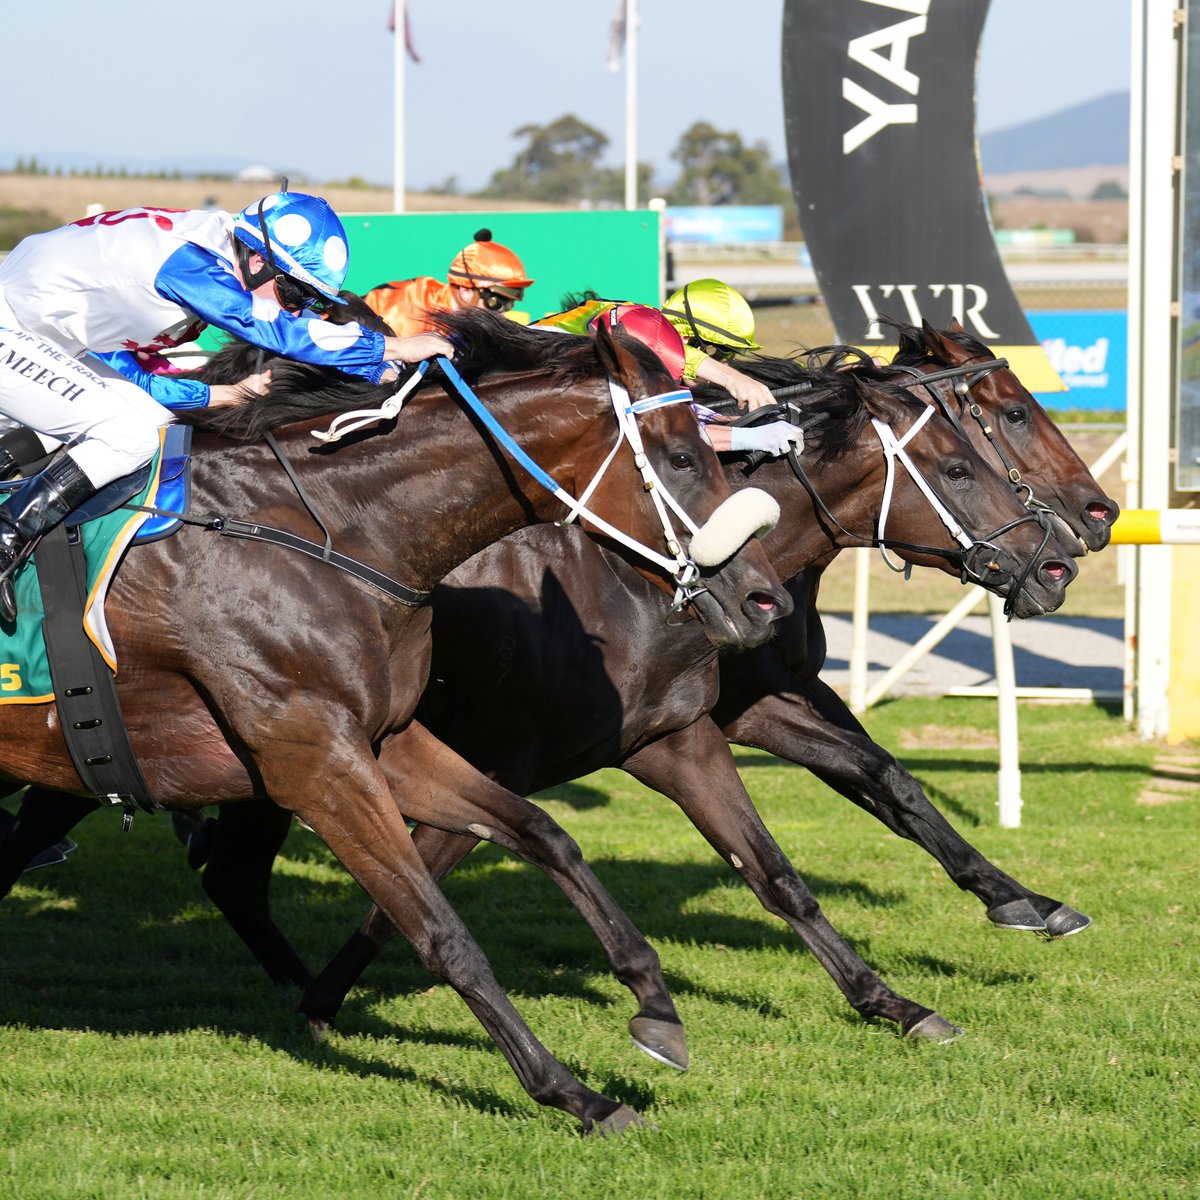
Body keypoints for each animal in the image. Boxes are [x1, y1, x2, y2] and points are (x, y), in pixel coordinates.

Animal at [0, 312, 792, 1132]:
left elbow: (544, 833)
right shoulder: (314, 762)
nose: (768, 601)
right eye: (683, 457)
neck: (335, 539)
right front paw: (575, 1095)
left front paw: (654, 1004)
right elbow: (442, 933)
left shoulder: (384, 743)